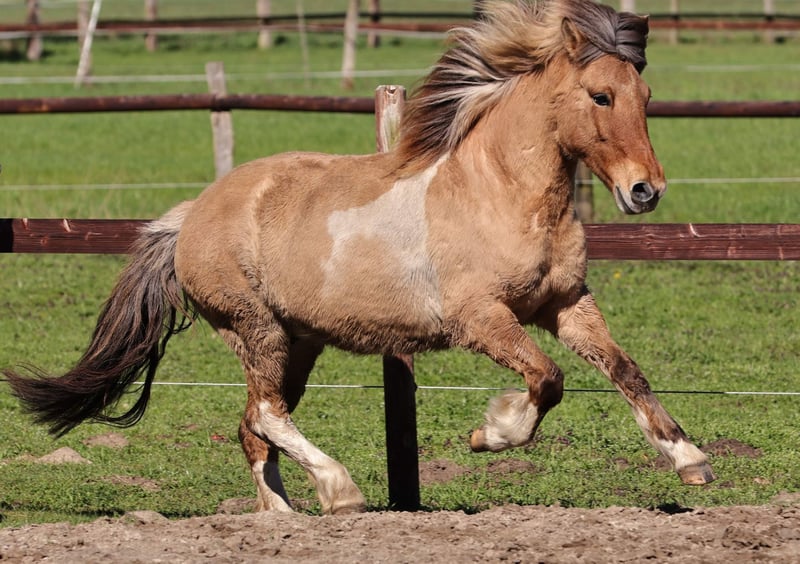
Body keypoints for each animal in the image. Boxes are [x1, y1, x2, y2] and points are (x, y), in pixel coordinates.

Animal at [5, 0, 716, 515]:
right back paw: (339, 490)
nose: (645, 191)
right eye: (600, 96)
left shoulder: (565, 304)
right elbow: (547, 379)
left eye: (646, 98)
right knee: (267, 415)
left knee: (253, 425)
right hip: (255, 329)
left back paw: (285, 516)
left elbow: (625, 370)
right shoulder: (481, 318)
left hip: (298, 342)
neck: (499, 194)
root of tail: (190, 217)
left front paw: (690, 459)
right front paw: (490, 433)